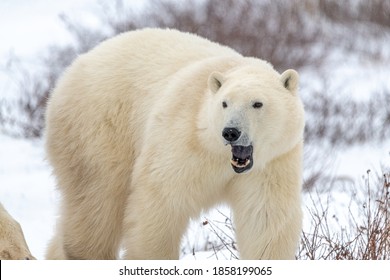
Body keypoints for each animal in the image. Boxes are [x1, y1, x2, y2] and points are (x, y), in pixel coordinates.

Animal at [44, 27, 304, 260]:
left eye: (257, 103)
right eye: (225, 103)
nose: (231, 132)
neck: (216, 154)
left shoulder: (274, 162)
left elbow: (265, 219)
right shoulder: (183, 140)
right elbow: (161, 203)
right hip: (99, 127)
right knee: (99, 197)